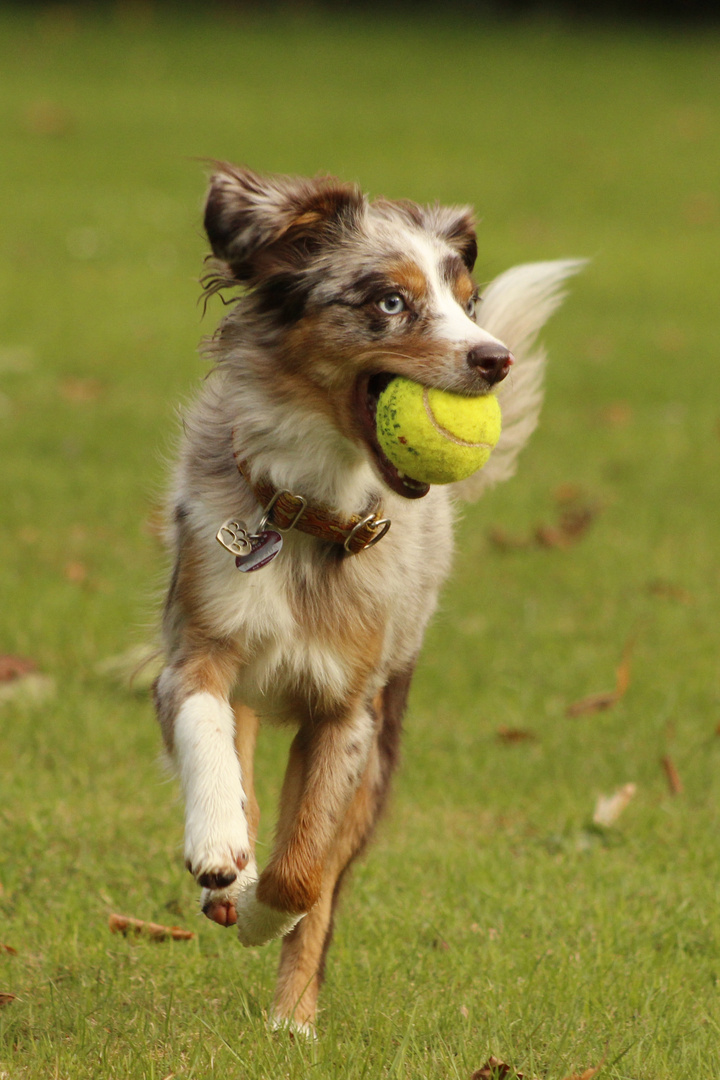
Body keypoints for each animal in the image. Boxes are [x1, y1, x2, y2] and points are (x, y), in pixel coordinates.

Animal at [155, 164, 582, 1032]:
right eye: (389, 301)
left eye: (466, 299)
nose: (495, 359)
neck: (309, 515)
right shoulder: (193, 649)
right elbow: (209, 732)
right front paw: (219, 850)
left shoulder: (348, 713)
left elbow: (304, 875)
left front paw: (263, 913)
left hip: (383, 745)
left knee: (321, 880)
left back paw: (291, 1018)